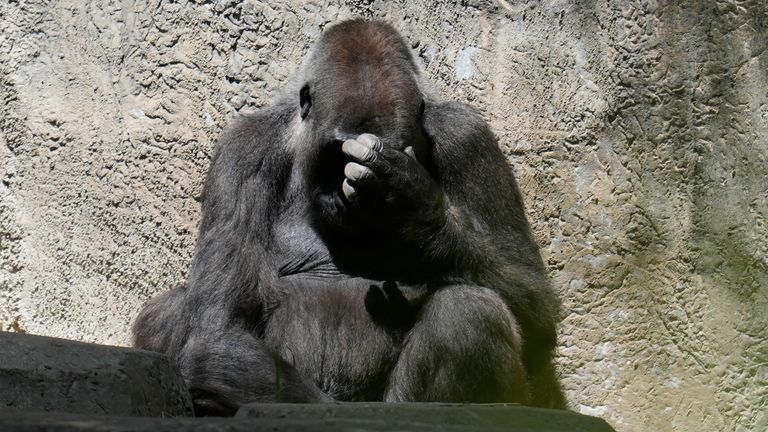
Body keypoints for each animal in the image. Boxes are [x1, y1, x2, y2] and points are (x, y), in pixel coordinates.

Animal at [132, 19, 564, 416]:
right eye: (336, 155)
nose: (345, 196)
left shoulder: (468, 137)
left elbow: (536, 307)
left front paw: (415, 212)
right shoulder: (245, 149)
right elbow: (217, 331)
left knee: (470, 311)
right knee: (170, 312)